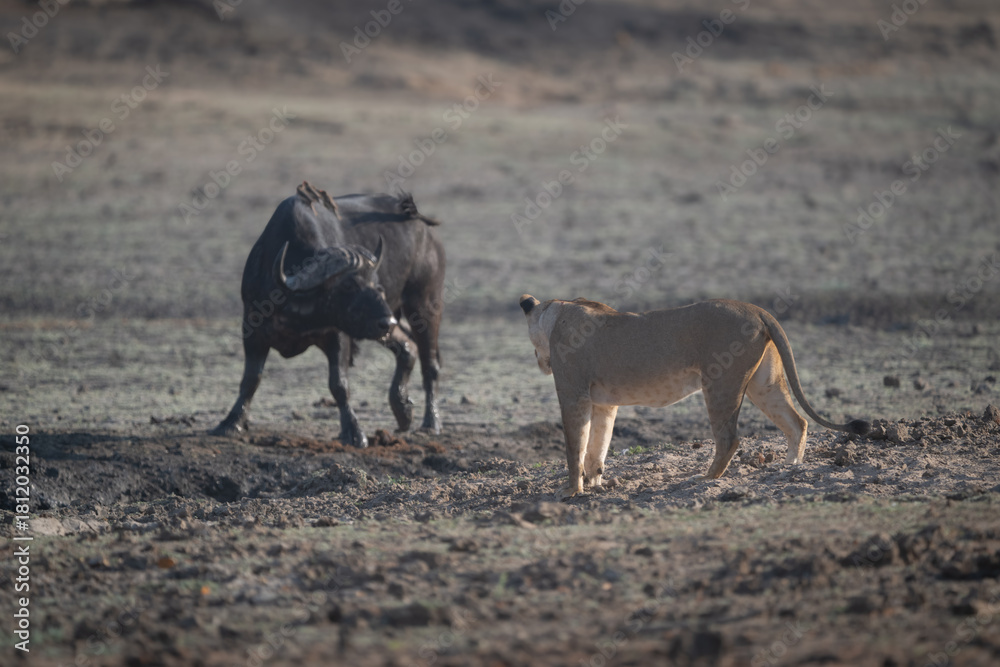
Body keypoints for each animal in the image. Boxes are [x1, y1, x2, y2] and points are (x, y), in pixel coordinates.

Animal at [212, 181, 445, 447]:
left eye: (376, 285)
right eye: (349, 285)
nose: (386, 321)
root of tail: (421, 224)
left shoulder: (338, 336)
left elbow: (339, 385)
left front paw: (354, 432)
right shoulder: (252, 329)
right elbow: (251, 379)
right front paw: (231, 423)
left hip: (425, 304)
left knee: (430, 364)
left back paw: (430, 424)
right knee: (408, 348)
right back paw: (403, 410)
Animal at [519, 295, 869, 499]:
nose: (536, 361)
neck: (556, 309)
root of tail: (756, 309)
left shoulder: (573, 393)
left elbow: (575, 445)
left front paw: (571, 490)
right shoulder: (605, 403)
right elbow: (598, 445)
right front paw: (595, 483)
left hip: (720, 381)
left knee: (730, 438)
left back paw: (706, 478)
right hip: (764, 383)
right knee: (797, 422)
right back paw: (789, 468)